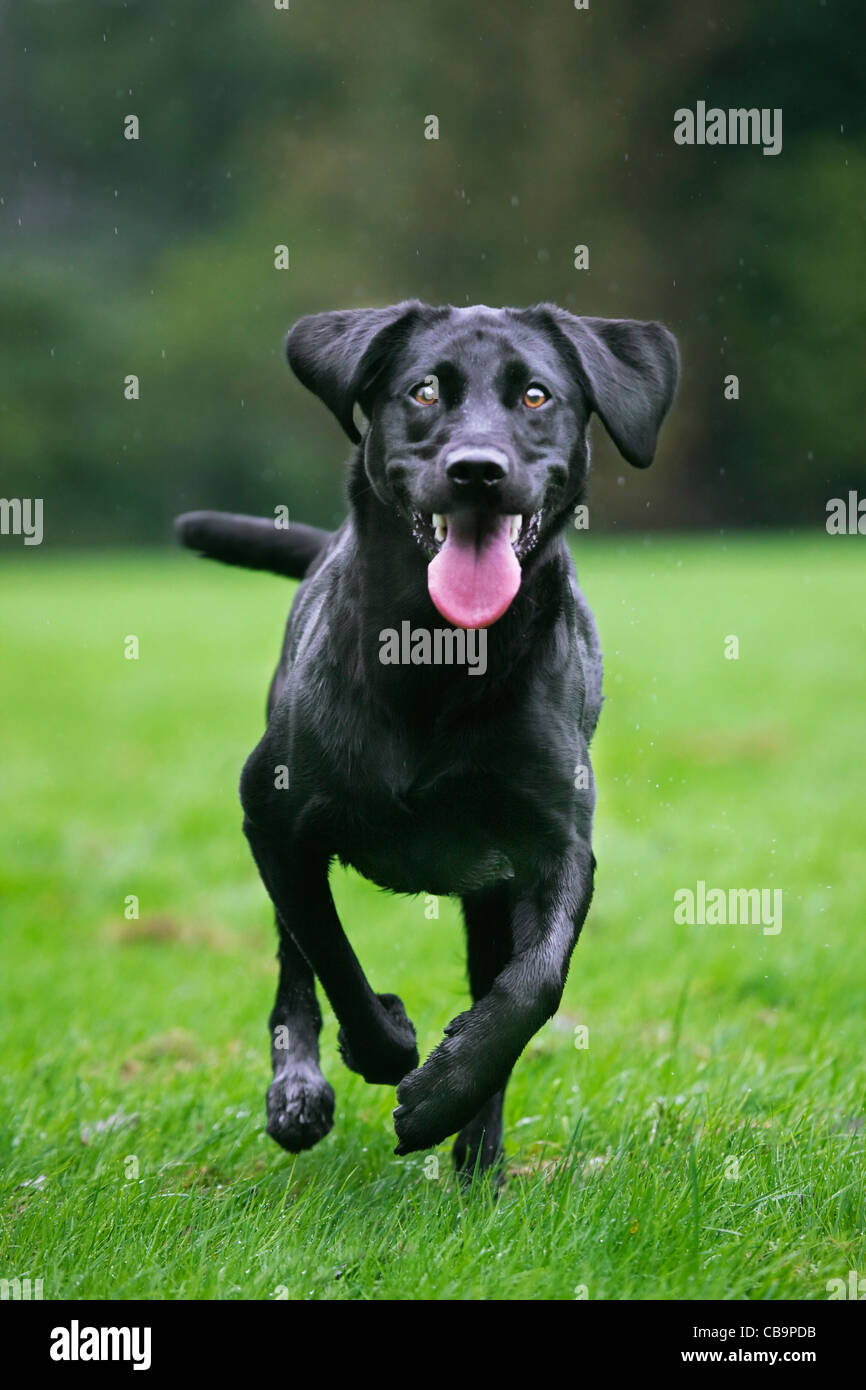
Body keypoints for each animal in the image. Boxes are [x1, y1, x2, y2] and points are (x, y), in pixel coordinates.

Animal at [174, 298, 678, 1178]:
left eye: (537, 396)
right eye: (423, 392)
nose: (477, 469)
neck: (439, 656)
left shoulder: (555, 846)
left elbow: (532, 986)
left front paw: (447, 1096)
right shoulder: (272, 821)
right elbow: (331, 955)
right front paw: (385, 1044)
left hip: (490, 891)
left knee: (493, 982)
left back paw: (478, 1157)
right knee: (293, 966)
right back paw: (297, 1090)